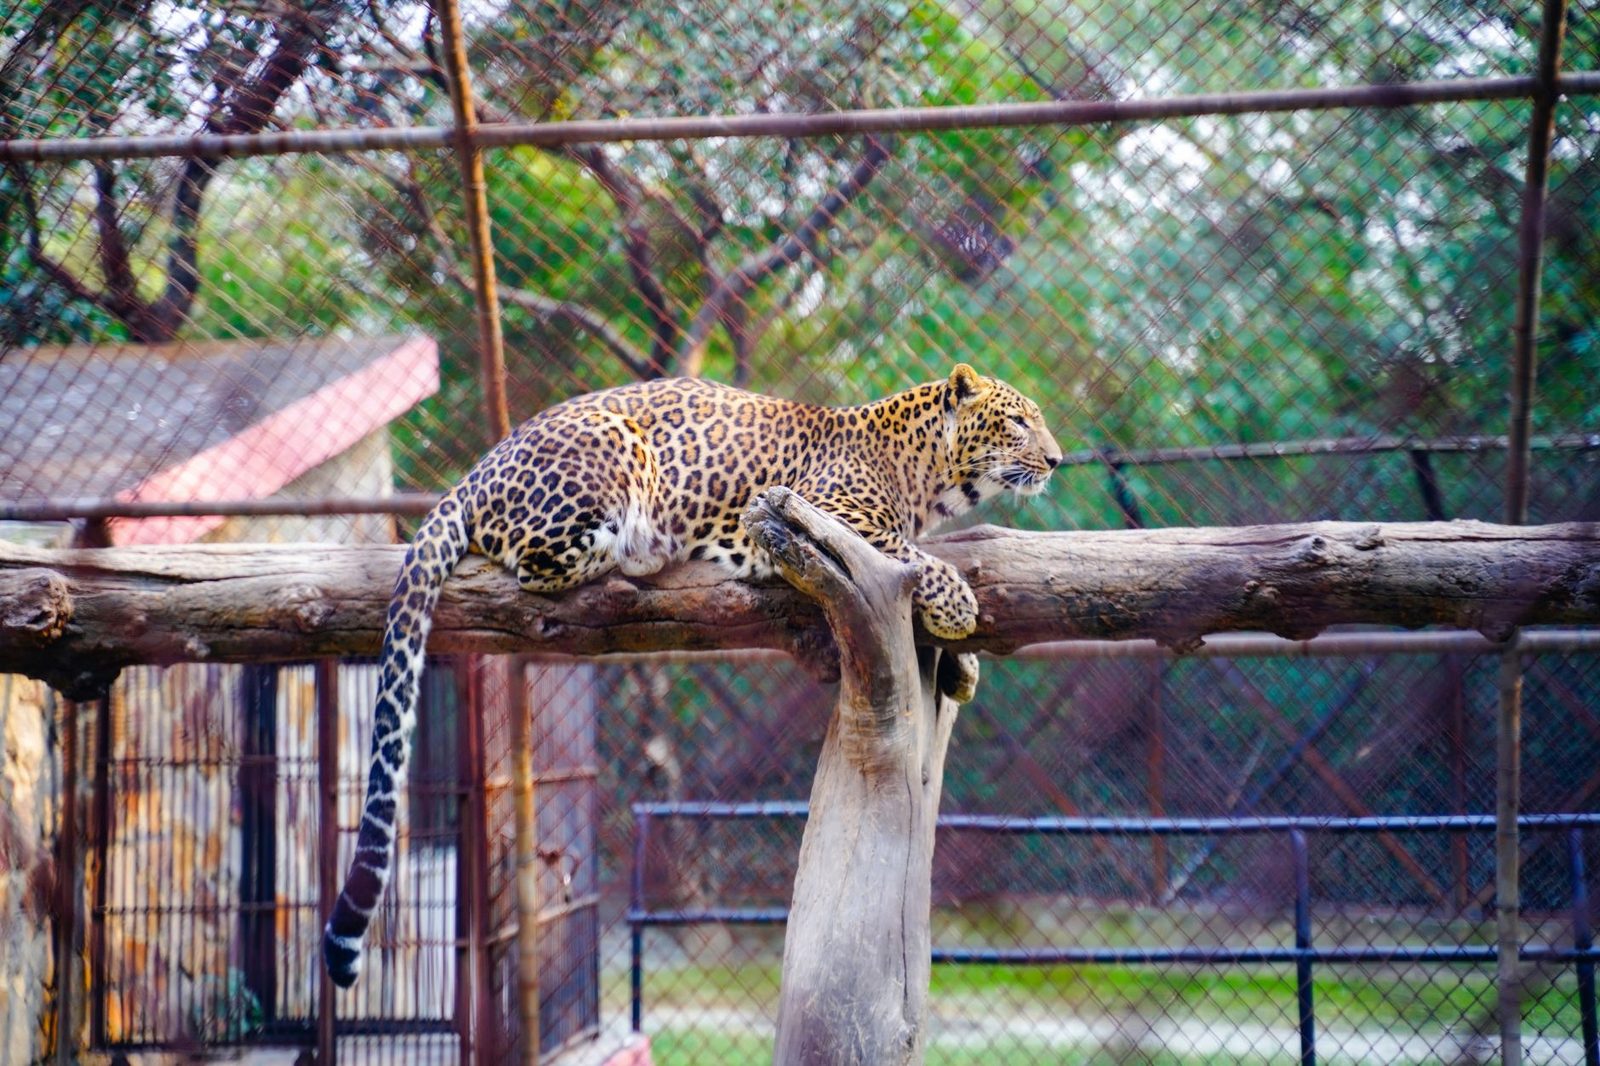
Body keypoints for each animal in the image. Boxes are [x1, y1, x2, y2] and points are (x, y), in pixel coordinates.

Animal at [322, 363, 1062, 987]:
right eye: (1018, 421)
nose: (1056, 459)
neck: (929, 476)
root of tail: (475, 470)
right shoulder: (819, 511)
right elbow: (915, 555)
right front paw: (958, 605)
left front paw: (962, 665)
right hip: (609, 452)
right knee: (533, 559)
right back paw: (639, 546)